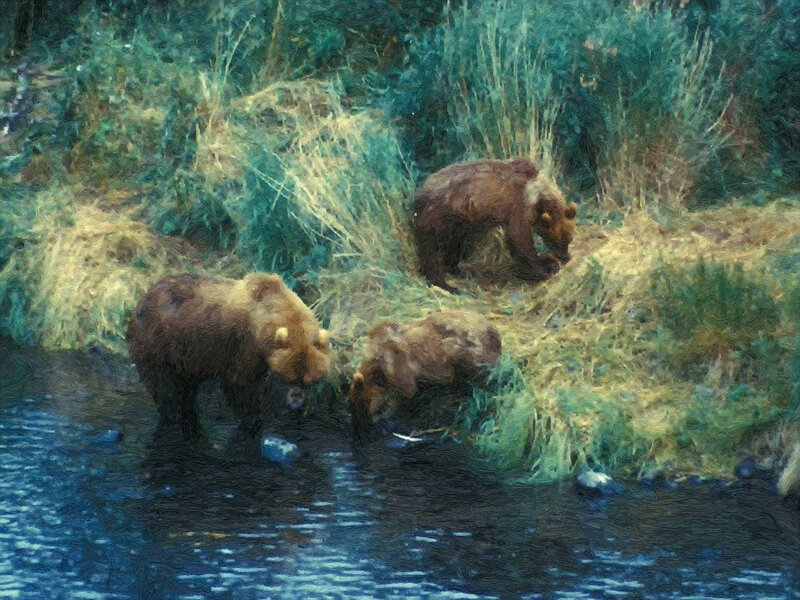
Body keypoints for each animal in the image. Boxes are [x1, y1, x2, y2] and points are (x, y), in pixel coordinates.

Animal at [127, 272, 331, 446]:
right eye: (288, 376)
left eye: (309, 380)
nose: (296, 402)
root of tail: (143, 298)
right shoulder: (241, 345)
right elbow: (240, 384)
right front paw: (252, 416)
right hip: (158, 343)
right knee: (165, 388)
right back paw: (174, 417)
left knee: (185, 390)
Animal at [348, 310, 502, 442]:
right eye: (351, 403)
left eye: (365, 404)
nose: (359, 429)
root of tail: (494, 333)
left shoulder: (403, 377)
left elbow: (404, 398)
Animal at [412, 157, 577, 294]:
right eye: (556, 240)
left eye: (569, 239)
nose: (565, 257)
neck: (540, 193)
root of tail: (421, 190)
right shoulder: (520, 205)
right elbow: (519, 237)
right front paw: (542, 269)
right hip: (438, 215)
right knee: (433, 250)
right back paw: (446, 285)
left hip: (455, 222)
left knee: (454, 244)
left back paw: (461, 271)